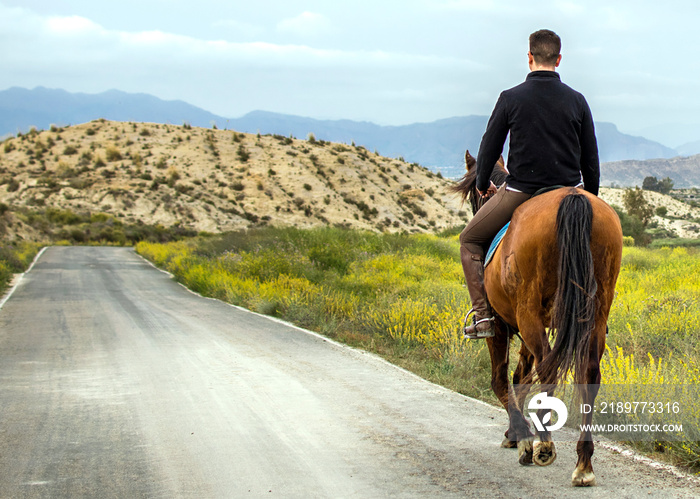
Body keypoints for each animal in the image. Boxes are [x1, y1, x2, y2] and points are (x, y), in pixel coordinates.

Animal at [454, 151, 624, 488]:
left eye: (473, 194)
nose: (479, 202)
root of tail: (572, 199)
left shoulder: (502, 325)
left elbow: (501, 379)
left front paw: (521, 436)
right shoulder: (535, 324)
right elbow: (520, 378)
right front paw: (515, 433)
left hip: (527, 314)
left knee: (547, 369)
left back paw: (545, 444)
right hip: (594, 315)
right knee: (588, 374)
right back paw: (583, 465)